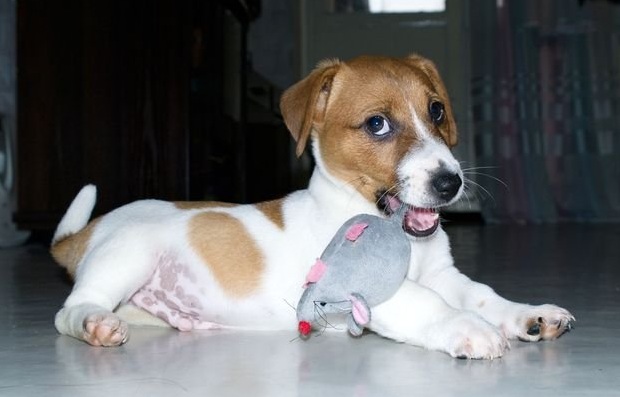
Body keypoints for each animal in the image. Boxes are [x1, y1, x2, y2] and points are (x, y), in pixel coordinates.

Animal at [50, 53, 572, 358]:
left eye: (437, 110)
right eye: (377, 124)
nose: (450, 182)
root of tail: (85, 233)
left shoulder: (445, 276)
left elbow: (482, 294)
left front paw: (528, 315)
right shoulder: (365, 287)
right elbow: (428, 303)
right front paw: (469, 329)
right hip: (128, 256)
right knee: (70, 309)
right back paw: (96, 324)